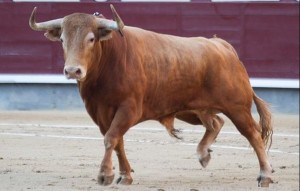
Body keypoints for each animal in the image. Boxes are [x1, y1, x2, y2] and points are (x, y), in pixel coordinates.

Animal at [28, 4, 274, 188]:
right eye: (62, 40)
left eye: (91, 39)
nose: (72, 71)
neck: (109, 61)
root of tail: (222, 46)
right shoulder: (99, 113)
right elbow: (116, 142)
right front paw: (125, 175)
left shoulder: (128, 109)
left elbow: (111, 138)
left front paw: (105, 175)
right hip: (192, 110)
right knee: (215, 122)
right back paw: (203, 154)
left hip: (237, 107)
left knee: (252, 134)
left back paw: (265, 175)